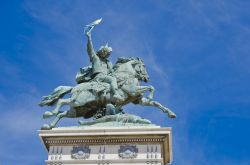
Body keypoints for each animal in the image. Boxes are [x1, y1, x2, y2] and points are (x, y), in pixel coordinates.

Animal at [39, 57, 176, 130]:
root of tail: (74, 88)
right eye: (143, 66)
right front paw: (151, 95)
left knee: (62, 114)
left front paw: (170, 113)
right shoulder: (133, 90)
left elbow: (156, 103)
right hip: (78, 101)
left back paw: (49, 126)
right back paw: (49, 113)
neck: (127, 75)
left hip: (79, 110)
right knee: (62, 101)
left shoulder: (138, 99)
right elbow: (151, 88)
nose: (147, 77)